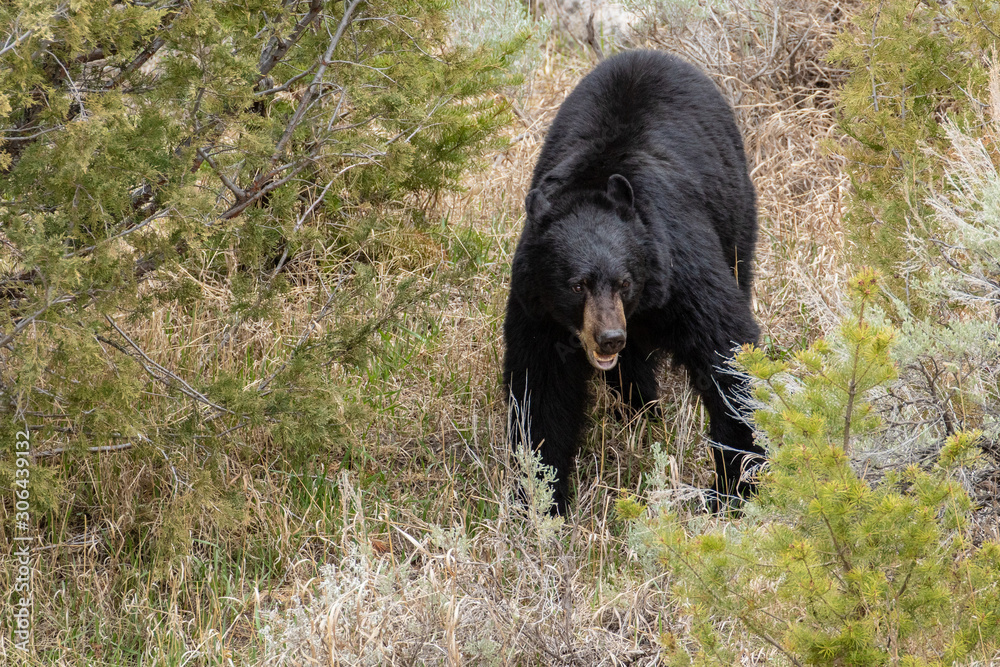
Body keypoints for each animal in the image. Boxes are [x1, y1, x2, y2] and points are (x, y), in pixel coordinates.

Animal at [503, 49, 766, 515]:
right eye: (576, 285)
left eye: (623, 282)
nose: (609, 338)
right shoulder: (536, 304)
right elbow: (541, 389)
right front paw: (542, 501)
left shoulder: (679, 263)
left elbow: (725, 347)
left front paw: (735, 485)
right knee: (632, 370)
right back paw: (641, 414)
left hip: (736, 210)